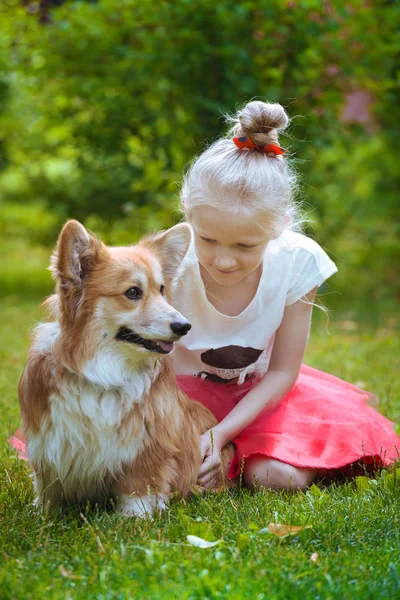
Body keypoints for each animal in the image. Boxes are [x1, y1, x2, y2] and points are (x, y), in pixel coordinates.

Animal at [19, 220, 234, 516]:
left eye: (162, 290)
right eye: (133, 292)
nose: (184, 326)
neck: (103, 371)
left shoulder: (145, 449)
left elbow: (140, 487)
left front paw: (135, 517)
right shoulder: (48, 445)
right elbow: (47, 488)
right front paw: (44, 512)